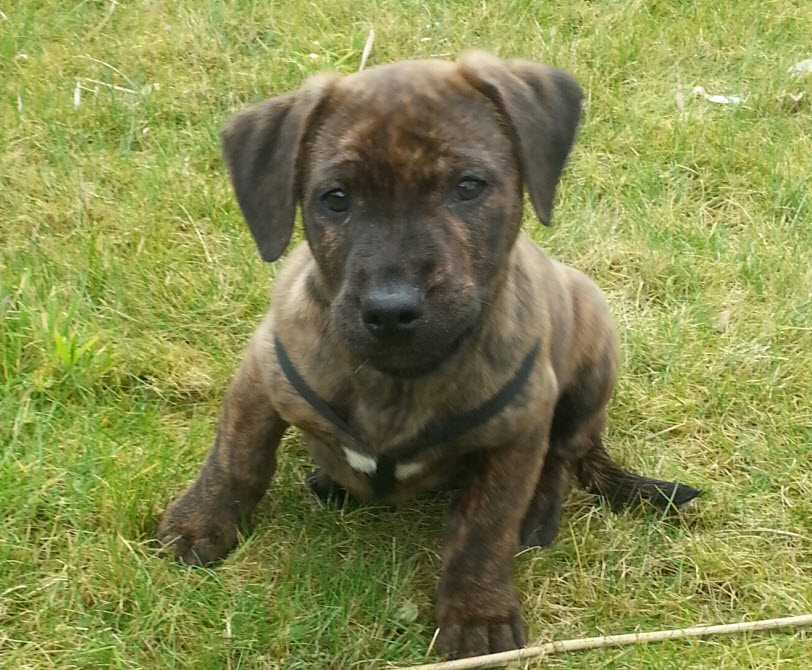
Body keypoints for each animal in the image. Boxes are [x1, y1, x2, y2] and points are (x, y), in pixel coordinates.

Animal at [157, 52, 696, 660]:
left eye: (467, 187)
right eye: (335, 198)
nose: (391, 310)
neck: (398, 381)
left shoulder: (519, 430)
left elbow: (484, 526)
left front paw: (478, 613)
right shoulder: (262, 374)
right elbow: (235, 458)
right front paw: (200, 524)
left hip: (592, 353)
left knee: (564, 453)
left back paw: (538, 512)